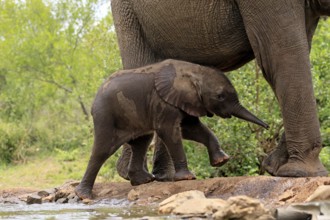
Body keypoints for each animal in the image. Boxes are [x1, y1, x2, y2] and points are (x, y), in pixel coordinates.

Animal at [76, 58, 270, 199]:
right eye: (220, 96)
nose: (268, 126)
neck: (193, 70)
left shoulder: (184, 100)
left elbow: (191, 129)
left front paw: (222, 161)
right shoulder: (163, 101)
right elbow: (169, 131)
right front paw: (188, 177)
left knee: (141, 142)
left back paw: (145, 181)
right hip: (105, 116)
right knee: (102, 150)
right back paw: (84, 196)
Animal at [111, 0, 328, 179]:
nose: (266, 127)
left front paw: (276, 168)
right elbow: (280, 57)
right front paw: (300, 172)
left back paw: (164, 178)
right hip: (129, 15)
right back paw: (136, 177)